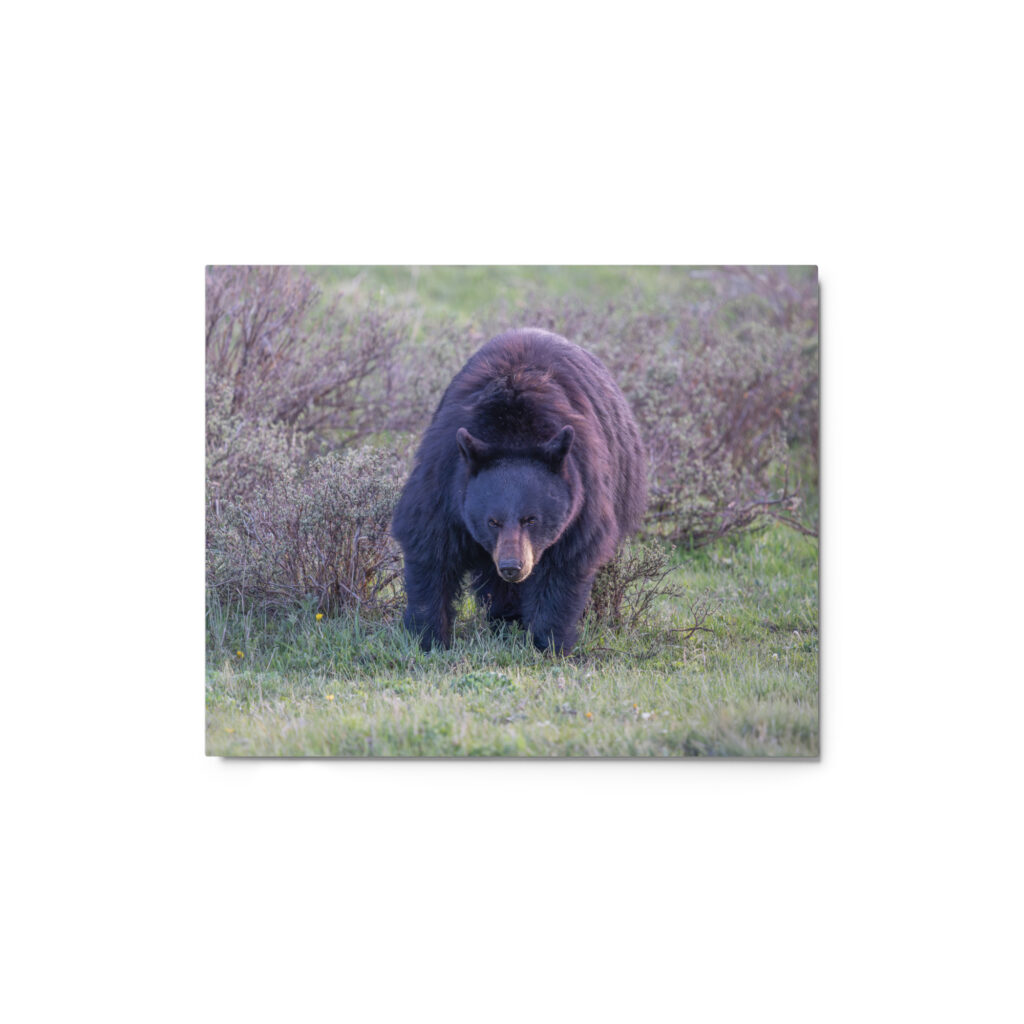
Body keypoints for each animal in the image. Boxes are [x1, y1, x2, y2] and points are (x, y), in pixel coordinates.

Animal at [391, 327, 647, 654]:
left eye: (531, 519)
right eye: (492, 521)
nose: (513, 567)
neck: (512, 431)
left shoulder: (583, 491)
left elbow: (565, 563)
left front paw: (549, 642)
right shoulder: (445, 478)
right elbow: (430, 547)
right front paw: (429, 637)